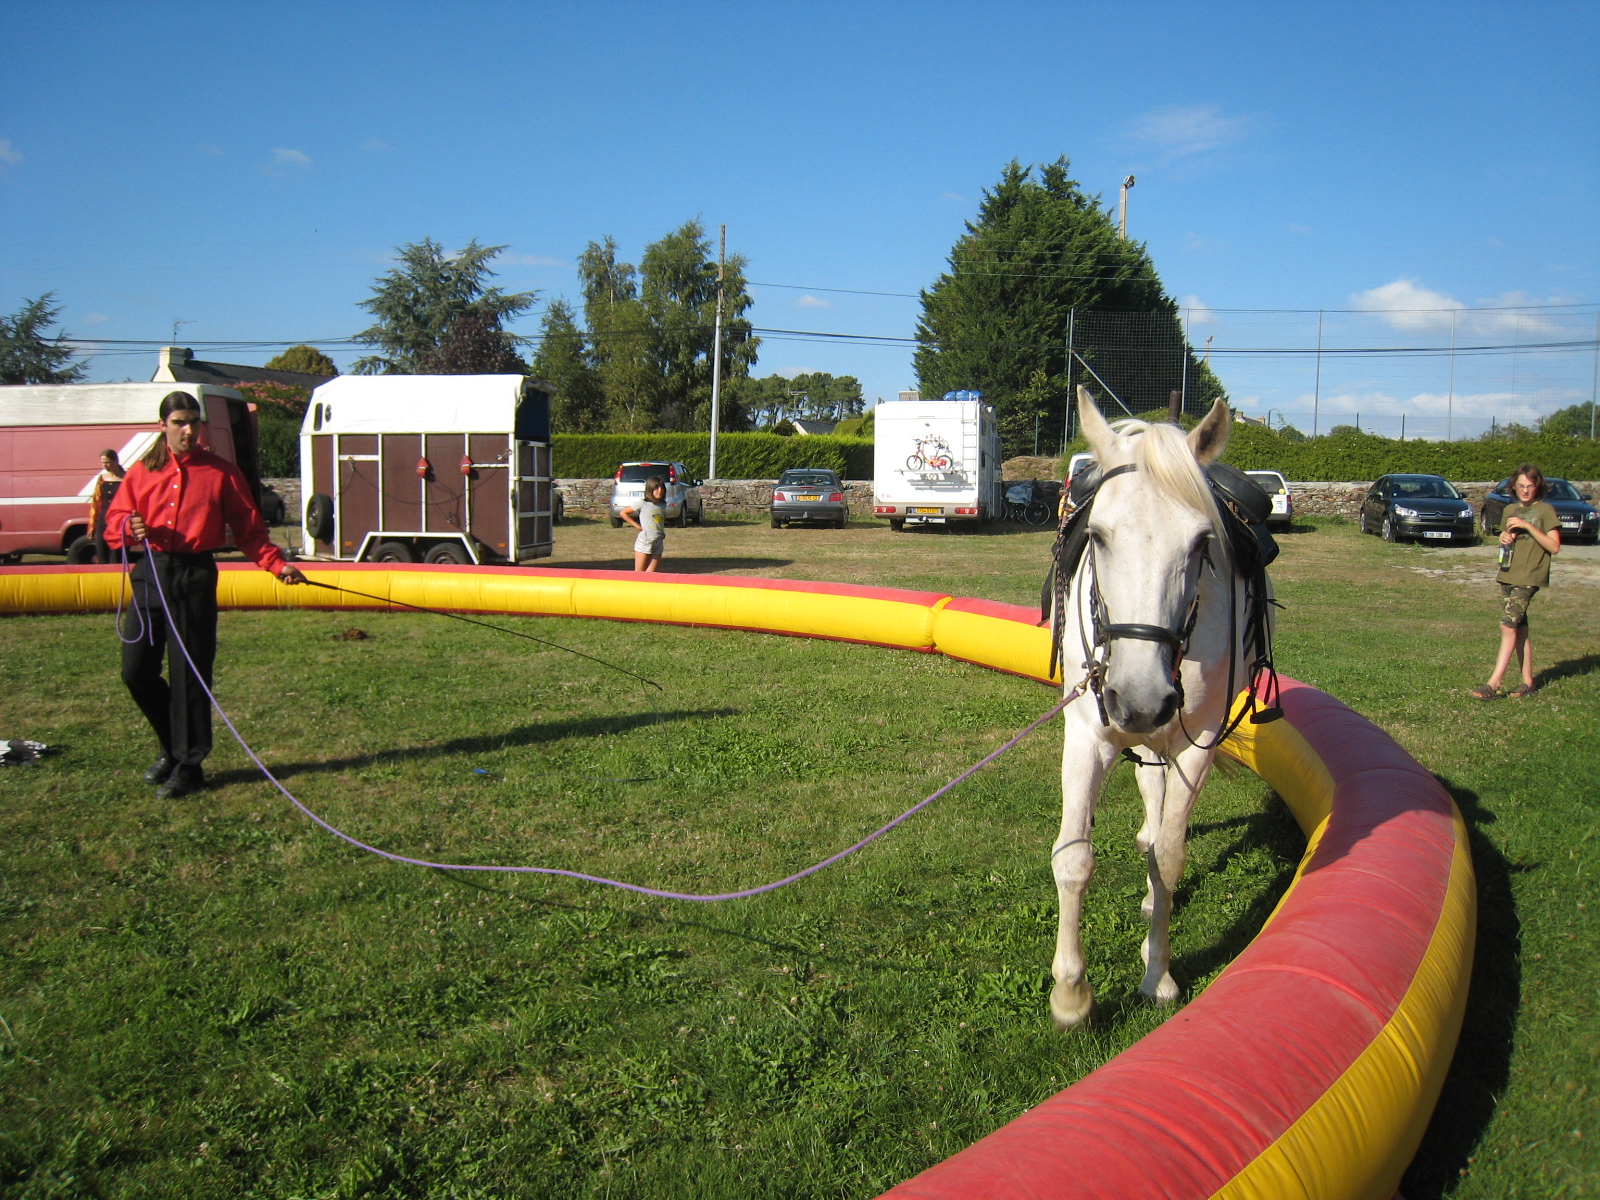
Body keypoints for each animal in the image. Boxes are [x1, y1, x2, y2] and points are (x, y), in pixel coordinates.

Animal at [1047, 387, 1276, 1029]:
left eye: (1201, 544)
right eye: (1098, 536)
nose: (1141, 698)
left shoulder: (1195, 745)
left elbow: (1170, 856)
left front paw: (1159, 976)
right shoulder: (1088, 734)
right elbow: (1073, 856)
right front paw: (1071, 996)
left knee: (1157, 831)